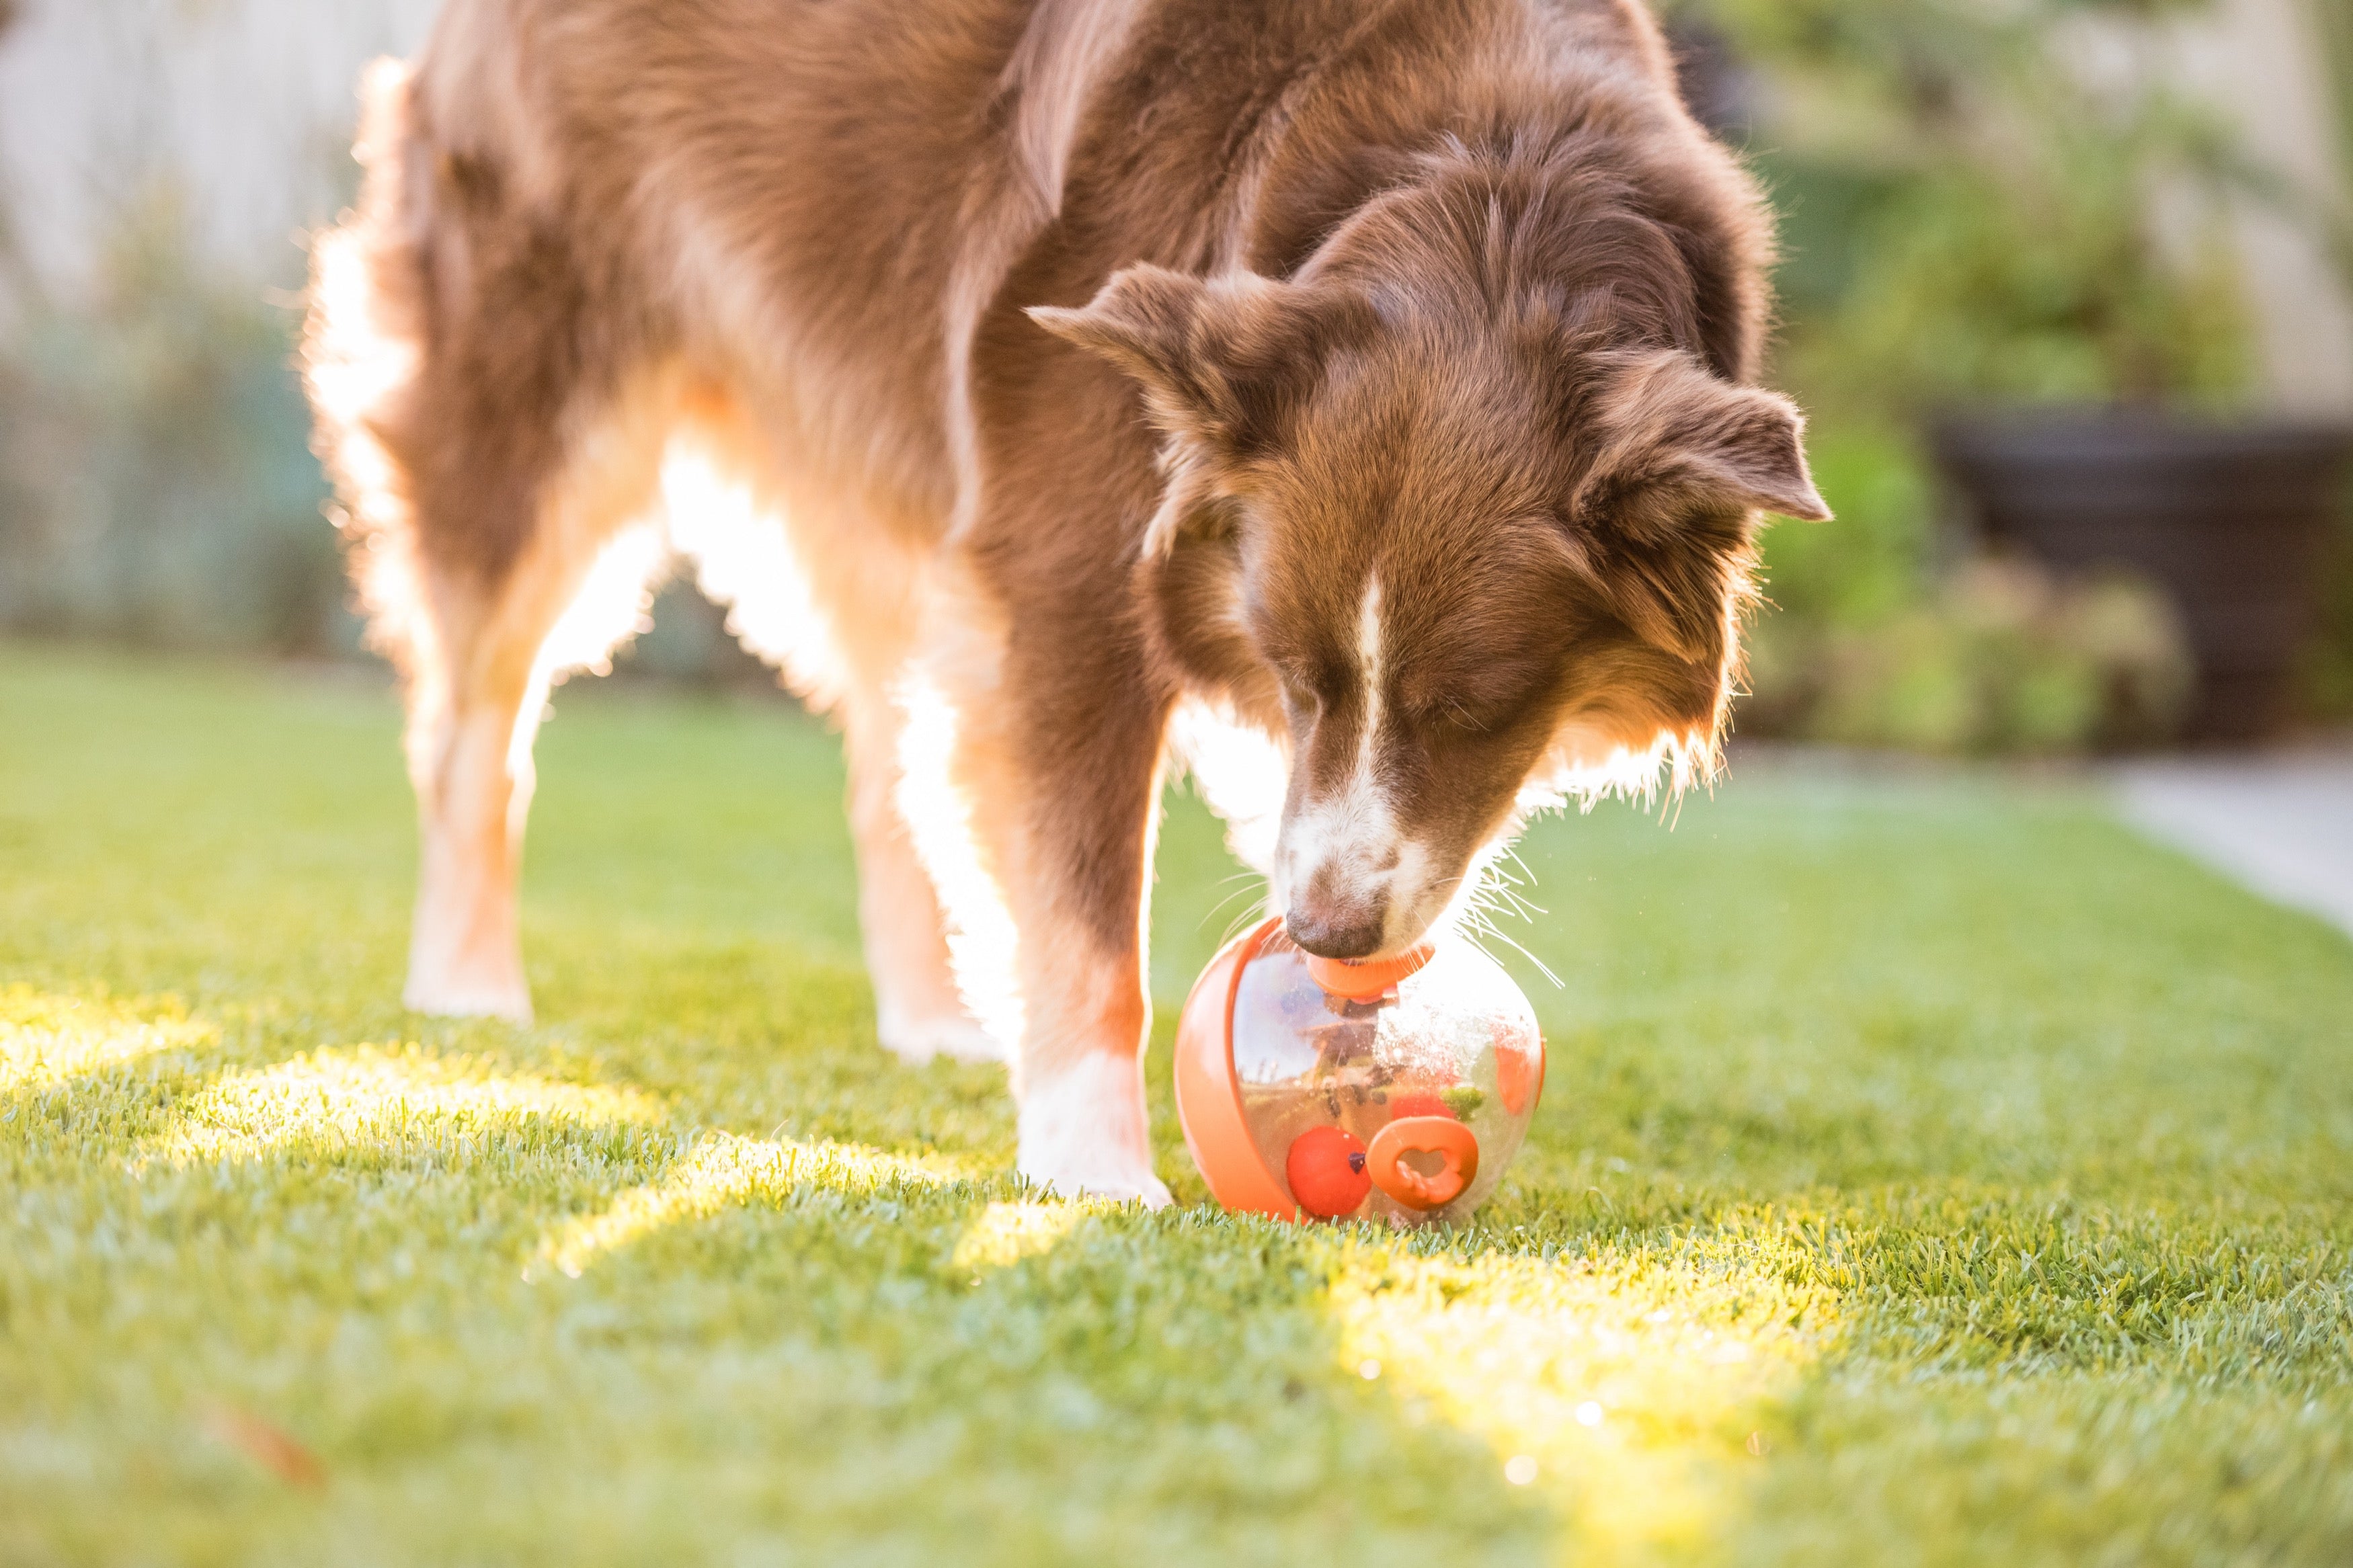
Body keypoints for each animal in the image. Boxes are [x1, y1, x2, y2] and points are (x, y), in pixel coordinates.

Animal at [308, 0, 1817, 1203]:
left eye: (1476, 711)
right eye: (1298, 670)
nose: (1326, 938)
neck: (1481, 165)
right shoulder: (1065, 564)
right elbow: (1093, 921)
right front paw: (1096, 1172)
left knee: (890, 760)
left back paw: (931, 1020)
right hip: (539, 386)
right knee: (476, 725)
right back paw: (468, 987)